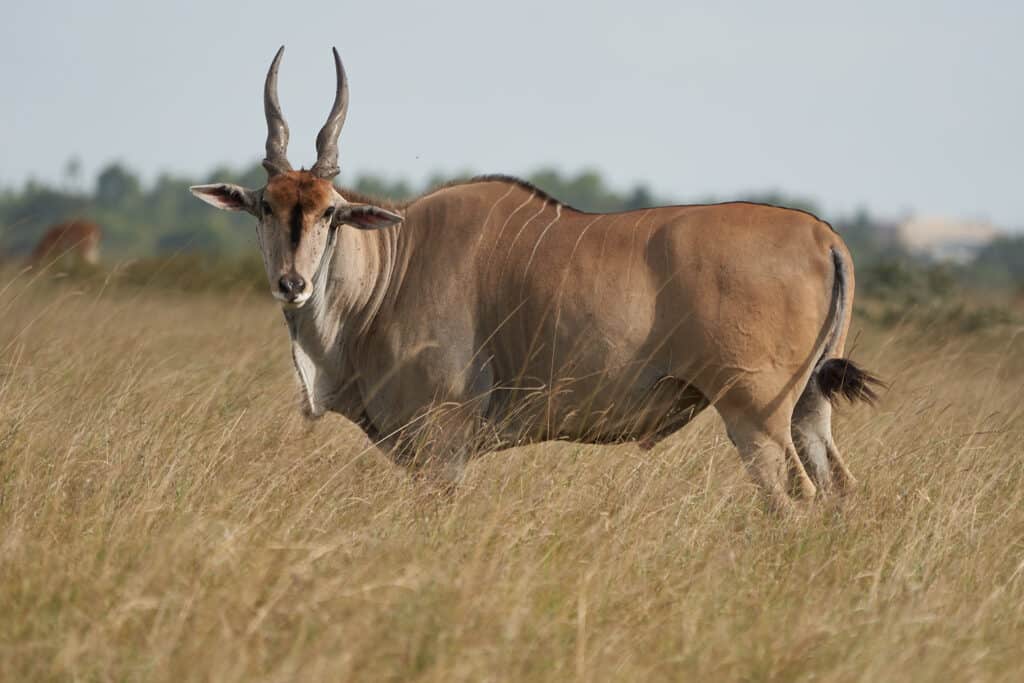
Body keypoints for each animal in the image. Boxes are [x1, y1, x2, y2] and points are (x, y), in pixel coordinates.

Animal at [190, 46, 880, 511]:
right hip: (808, 408)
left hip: (756, 417)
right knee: (839, 490)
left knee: (794, 501)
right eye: (266, 206)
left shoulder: (440, 448)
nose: (293, 285)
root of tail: (823, 236)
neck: (393, 264)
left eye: (330, 212)